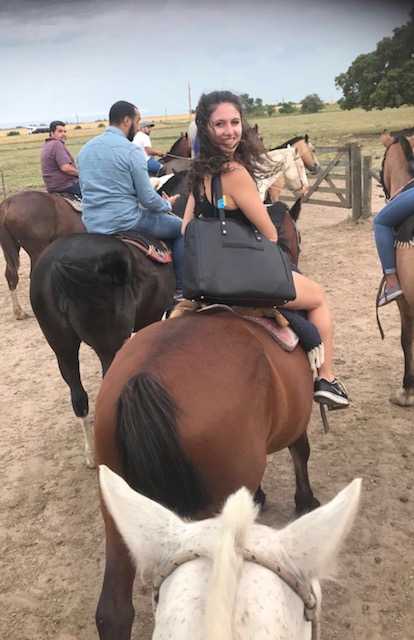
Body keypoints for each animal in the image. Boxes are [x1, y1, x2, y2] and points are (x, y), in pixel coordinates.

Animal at [29, 199, 301, 469]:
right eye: (296, 235)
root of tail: (61, 266)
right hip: (108, 345)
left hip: (62, 347)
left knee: (79, 398)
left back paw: (91, 455)